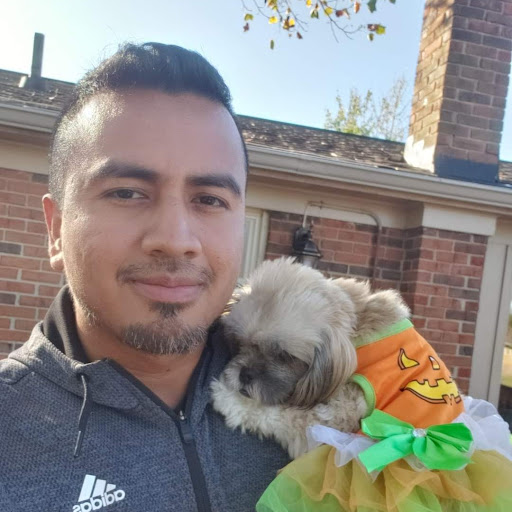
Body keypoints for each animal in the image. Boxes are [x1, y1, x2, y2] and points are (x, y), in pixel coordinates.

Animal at [211, 257, 411, 459]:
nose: (245, 374)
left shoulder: (332, 422)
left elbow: (276, 413)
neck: (356, 332)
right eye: (239, 343)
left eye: (284, 355)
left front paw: (227, 398)